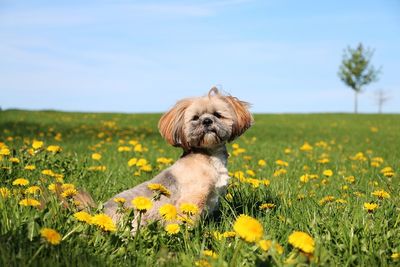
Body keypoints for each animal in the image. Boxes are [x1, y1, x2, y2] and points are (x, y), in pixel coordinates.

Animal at [103, 88, 253, 230]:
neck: (208, 157)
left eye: (217, 114)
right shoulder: (193, 200)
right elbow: (187, 223)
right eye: (195, 117)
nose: (207, 121)